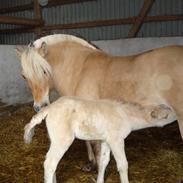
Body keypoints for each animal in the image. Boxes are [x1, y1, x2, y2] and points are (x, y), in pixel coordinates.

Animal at [16, 34, 182, 172]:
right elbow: (88, 142)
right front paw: (90, 164)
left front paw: (98, 167)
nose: (39, 106)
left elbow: (94, 144)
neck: (79, 70)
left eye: (44, 71)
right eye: (24, 76)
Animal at [23, 96, 172, 182]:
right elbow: (123, 165)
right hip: (62, 139)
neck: (127, 116)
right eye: (167, 115)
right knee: (50, 163)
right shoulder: (116, 139)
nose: (176, 112)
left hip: (54, 138)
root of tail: (48, 109)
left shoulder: (106, 140)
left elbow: (104, 161)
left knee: (52, 162)